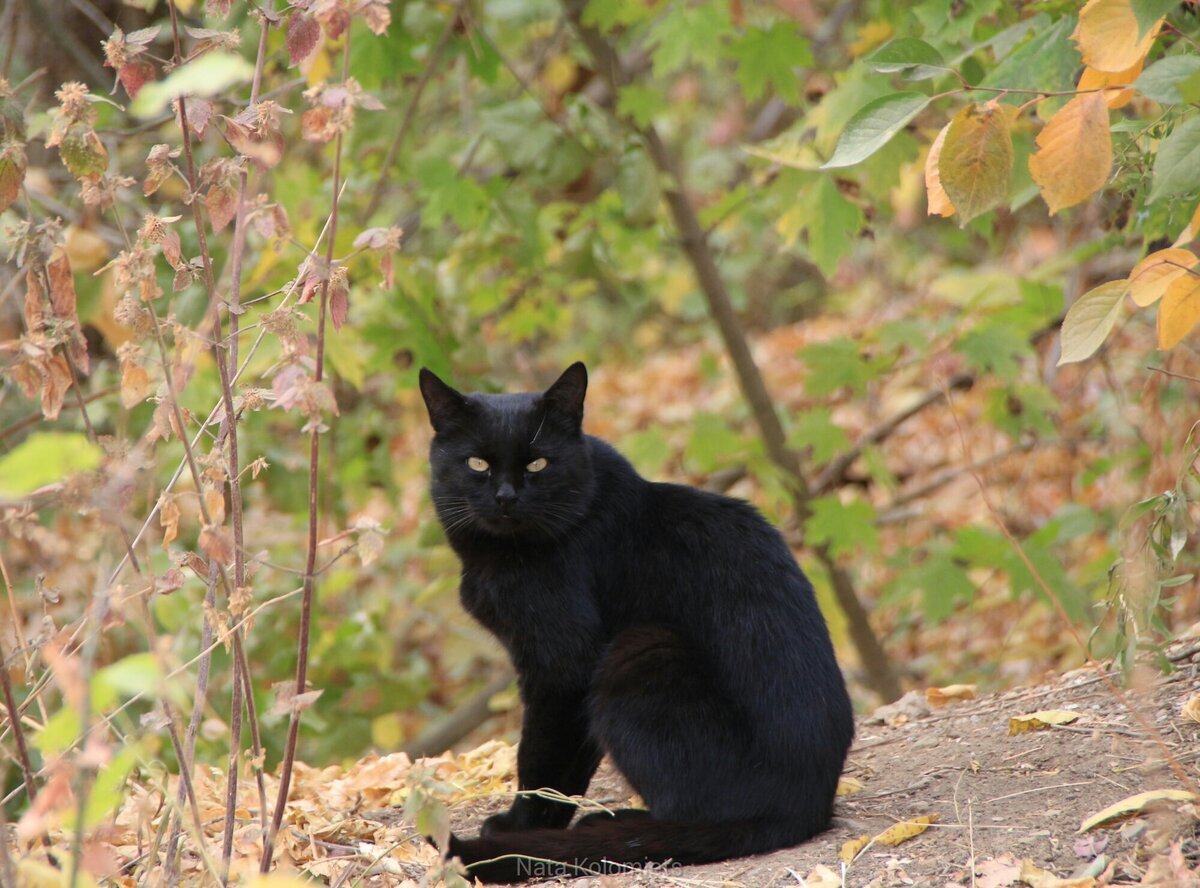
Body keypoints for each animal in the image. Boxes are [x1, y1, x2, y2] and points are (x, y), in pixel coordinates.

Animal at [420, 360, 854, 883]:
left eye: (538, 463)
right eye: (477, 464)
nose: (505, 497)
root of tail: (805, 808)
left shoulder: (563, 667)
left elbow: (543, 763)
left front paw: (520, 829)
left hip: (641, 647)